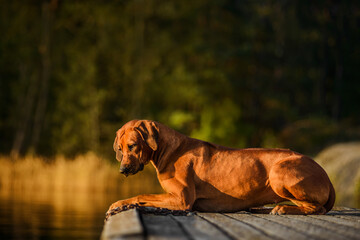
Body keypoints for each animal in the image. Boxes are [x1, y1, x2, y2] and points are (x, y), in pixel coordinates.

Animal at [107, 119, 334, 215]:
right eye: (119, 148)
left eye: (132, 145)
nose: (123, 170)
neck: (169, 150)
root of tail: (326, 175)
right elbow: (143, 198)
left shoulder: (181, 199)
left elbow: (141, 195)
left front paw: (119, 203)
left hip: (279, 172)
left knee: (317, 208)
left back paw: (283, 208)